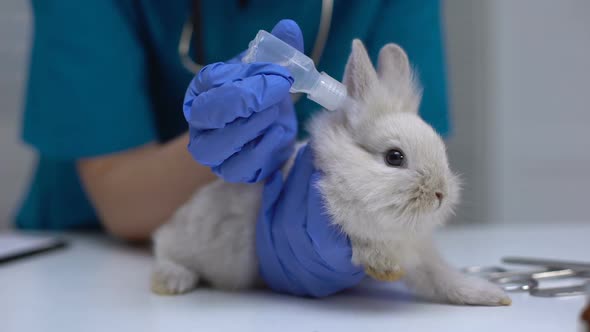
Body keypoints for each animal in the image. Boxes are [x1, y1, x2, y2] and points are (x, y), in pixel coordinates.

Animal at [153, 39, 512, 306]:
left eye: (441, 150)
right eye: (394, 157)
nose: (440, 194)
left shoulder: (421, 252)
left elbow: (441, 278)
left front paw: (490, 295)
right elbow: (365, 243)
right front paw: (384, 267)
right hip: (192, 239)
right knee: (163, 246)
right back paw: (171, 281)